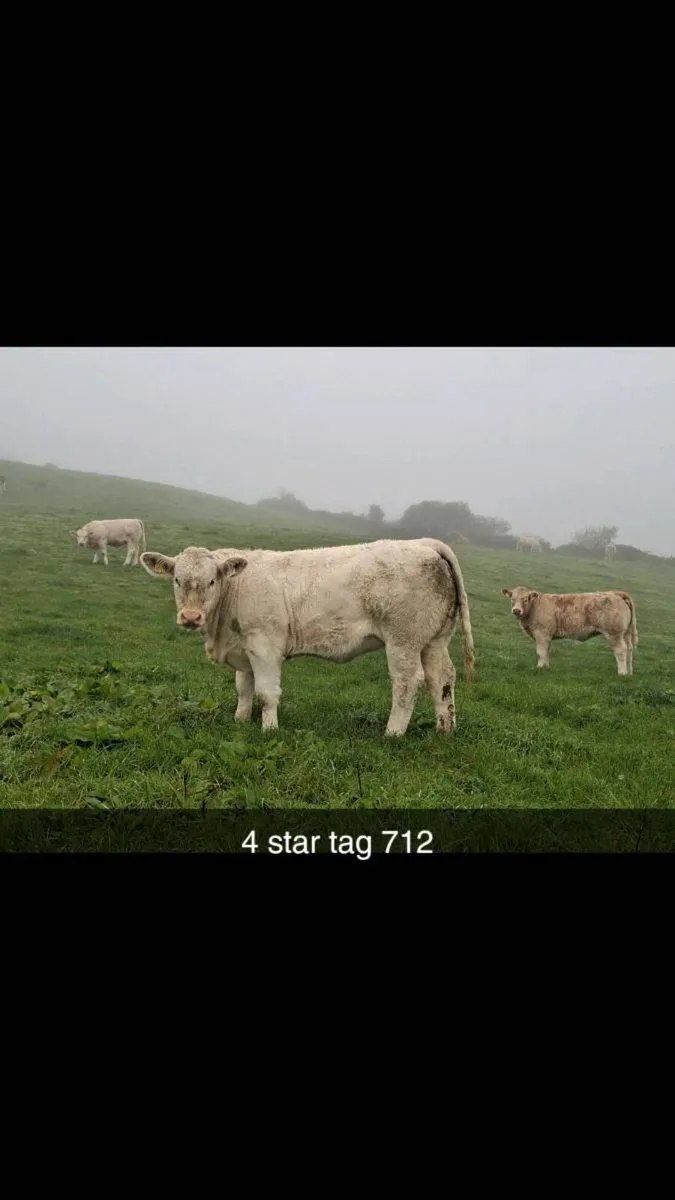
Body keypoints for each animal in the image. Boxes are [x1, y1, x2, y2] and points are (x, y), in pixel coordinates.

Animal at [140, 537, 476, 737]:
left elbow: (266, 692)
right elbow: (244, 689)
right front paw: (240, 720)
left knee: (408, 683)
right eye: (177, 580)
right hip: (433, 641)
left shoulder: (264, 645)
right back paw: (444, 730)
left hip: (403, 641)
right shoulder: (244, 649)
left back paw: (392, 733)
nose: (190, 617)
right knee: (442, 679)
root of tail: (424, 544)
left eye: (212, 581)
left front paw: (269, 730)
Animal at [501, 585, 638, 675]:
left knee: (621, 650)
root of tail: (616, 593)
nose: (516, 610)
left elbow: (541, 652)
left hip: (615, 634)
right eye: (512, 599)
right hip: (625, 633)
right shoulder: (548, 636)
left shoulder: (542, 633)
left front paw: (539, 668)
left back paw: (622, 673)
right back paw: (629, 672)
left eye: (526, 599)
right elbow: (547, 652)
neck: (534, 607)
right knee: (629, 649)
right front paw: (546, 667)